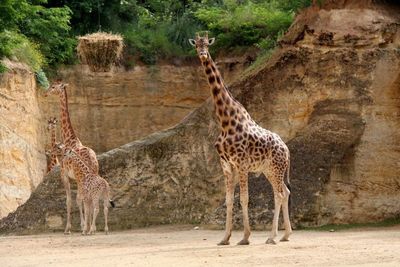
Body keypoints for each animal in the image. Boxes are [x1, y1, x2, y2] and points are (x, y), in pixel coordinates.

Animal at [44, 81, 98, 234]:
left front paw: (69, 228)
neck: (69, 139)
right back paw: (92, 227)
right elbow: (77, 200)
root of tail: (93, 159)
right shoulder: (75, 177)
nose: (45, 93)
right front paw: (81, 225)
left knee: (86, 197)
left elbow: (70, 200)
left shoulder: (64, 174)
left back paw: (89, 227)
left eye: (53, 87)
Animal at [189, 32, 292, 246]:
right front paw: (225, 238)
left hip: (276, 168)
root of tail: (287, 149)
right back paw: (285, 234)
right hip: (269, 170)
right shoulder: (227, 165)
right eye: (196, 45)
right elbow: (229, 200)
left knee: (279, 194)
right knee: (284, 192)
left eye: (207, 45)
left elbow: (244, 198)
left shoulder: (242, 164)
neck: (225, 121)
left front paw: (245, 237)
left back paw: (272, 236)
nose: (203, 55)